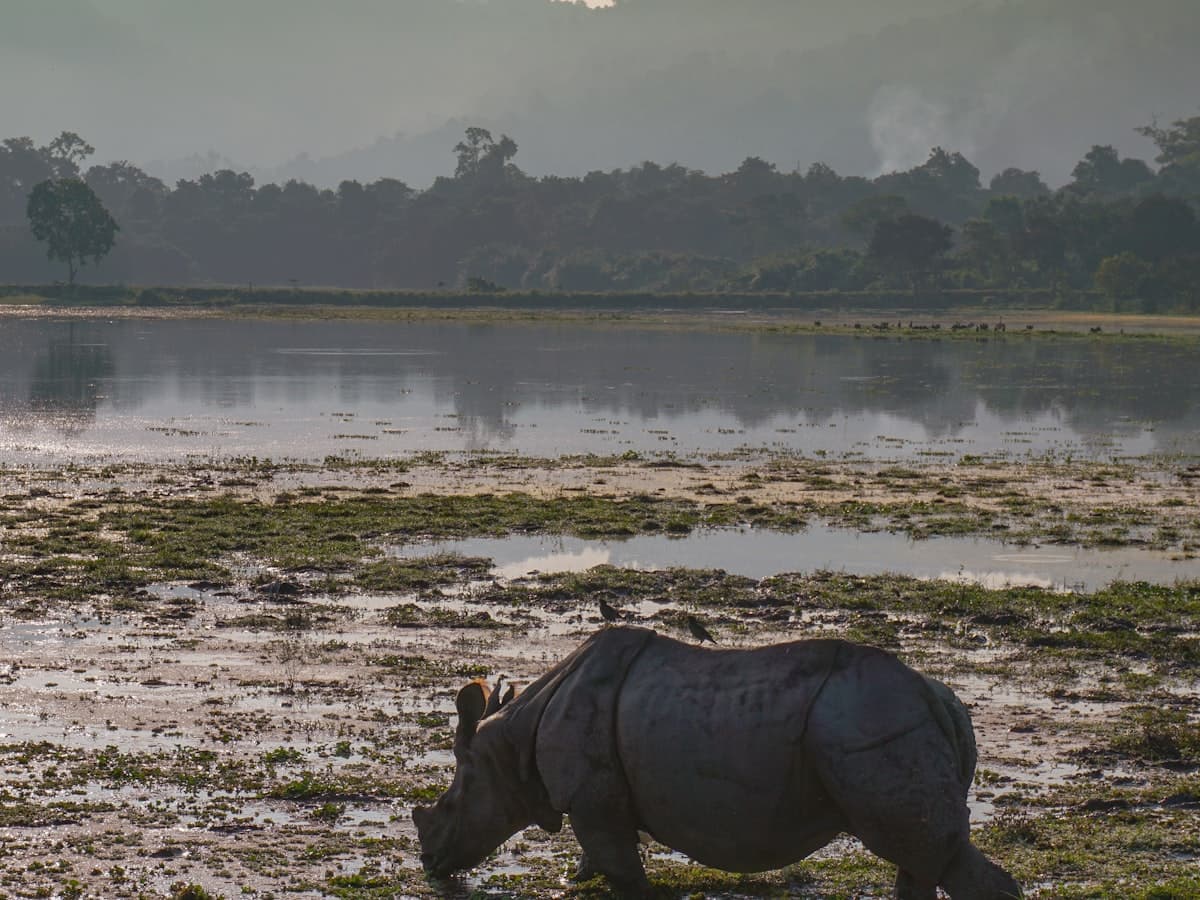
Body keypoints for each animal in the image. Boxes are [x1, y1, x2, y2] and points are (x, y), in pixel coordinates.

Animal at [413, 626, 1021, 899]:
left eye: (449, 804)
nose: (430, 862)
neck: (509, 747)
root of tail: (941, 700)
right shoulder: (597, 800)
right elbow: (601, 856)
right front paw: (577, 875)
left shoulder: (590, 799)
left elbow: (624, 872)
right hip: (888, 718)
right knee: (920, 857)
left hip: (872, 720)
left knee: (927, 851)